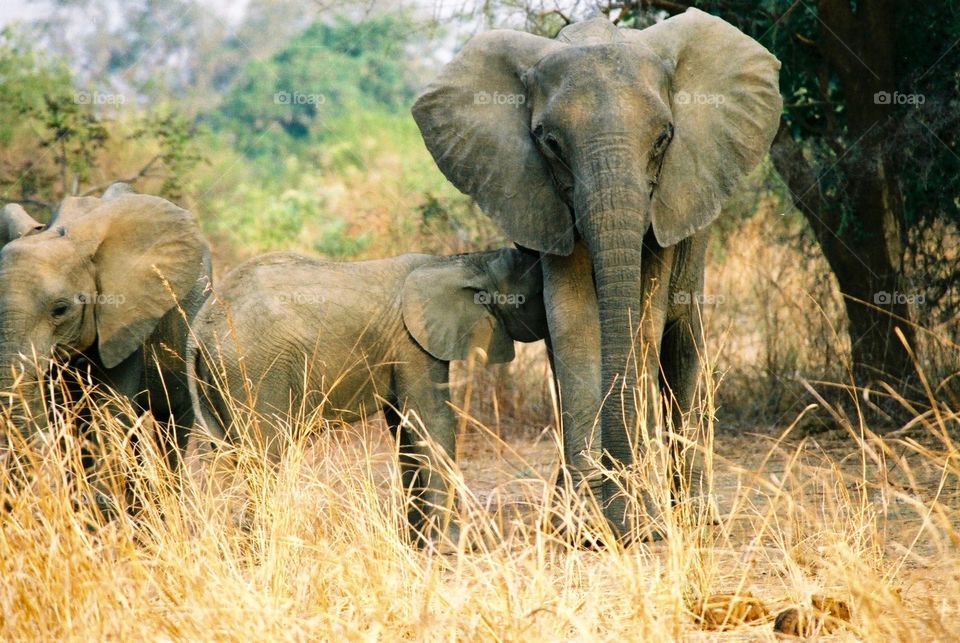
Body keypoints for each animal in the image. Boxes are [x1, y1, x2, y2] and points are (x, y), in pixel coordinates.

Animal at [188, 249, 548, 544]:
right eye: (536, 296)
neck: (467, 261)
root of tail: (200, 329)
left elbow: (405, 430)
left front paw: (416, 541)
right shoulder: (412, 343)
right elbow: (430, 422)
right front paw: (459, 545)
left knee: (225, 456)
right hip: (253, 369)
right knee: (263, 455)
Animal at [410, 10, 780, 540]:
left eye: (663, 138)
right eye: (550, 144)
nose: (630, 523)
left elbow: (643, 321)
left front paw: (640, 519)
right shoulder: (546, 197)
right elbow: (574, 320)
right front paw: (588, 526)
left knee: (684, 344)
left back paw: (695, 517)